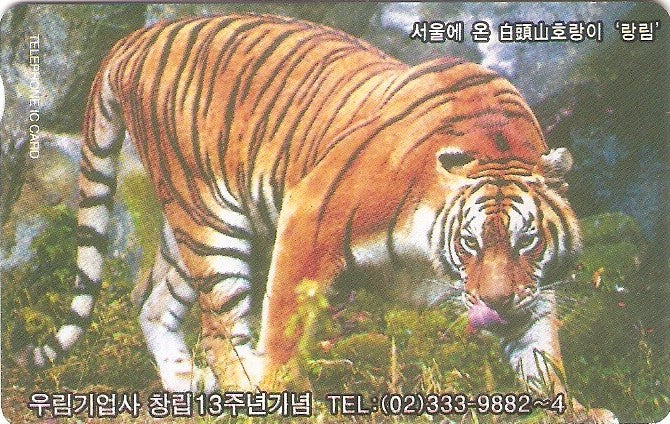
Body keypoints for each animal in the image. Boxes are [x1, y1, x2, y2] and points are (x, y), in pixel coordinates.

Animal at [19, 14, 616, 423]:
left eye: (526, 242)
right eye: (469, 242)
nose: (494, 304)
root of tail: (139, 37)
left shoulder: (532, 288)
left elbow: (541, 354)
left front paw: (573, 408)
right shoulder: (309, 216)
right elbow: (284, 328)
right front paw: (281, 396)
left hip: (187, 224)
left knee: (152, 300)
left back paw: (186, 394)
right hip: (214, 223)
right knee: (218, 329)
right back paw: (243, 397)